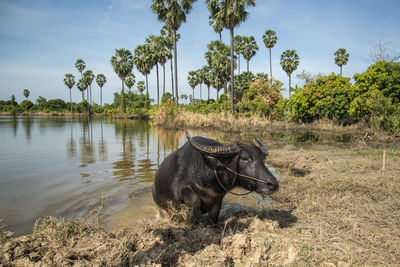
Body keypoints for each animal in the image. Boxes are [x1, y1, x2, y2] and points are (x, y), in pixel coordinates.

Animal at [152, 132, 280, 224]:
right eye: (244, 158)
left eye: (263, 159)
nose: (273, 184)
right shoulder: (179, 189)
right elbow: (194, 200)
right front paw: (192, 217)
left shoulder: (218, 199)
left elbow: (213, 216)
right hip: (161, 208)